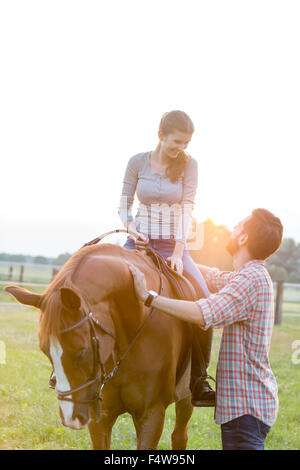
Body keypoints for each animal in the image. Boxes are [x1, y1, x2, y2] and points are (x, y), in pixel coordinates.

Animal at [5, 244, 196, 450]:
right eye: (45, 351)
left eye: (82, 351)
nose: (70, 418)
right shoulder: (100, 415)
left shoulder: (152, 414)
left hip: (186, 397)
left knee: (180, 435)